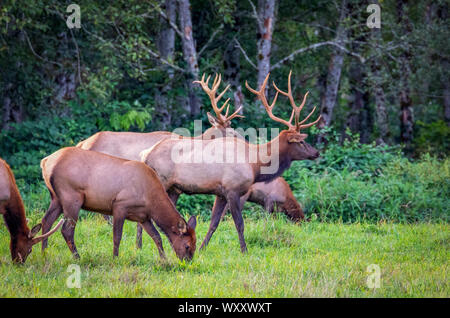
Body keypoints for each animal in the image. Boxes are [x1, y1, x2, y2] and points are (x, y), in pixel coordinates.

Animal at [40, 147, 197, 260]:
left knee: (46, 221)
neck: (151, 200)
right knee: (66, 230)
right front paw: (115, 258)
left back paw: (44, 253)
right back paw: (77, 257)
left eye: (195, 244)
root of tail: (45, 162)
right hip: (71, 197)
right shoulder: (120, 205)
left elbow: (157, 236)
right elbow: (117, 236)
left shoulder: (143, 217)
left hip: (56, 198)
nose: (187, 261)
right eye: (187, 246)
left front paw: (164, 260)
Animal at [141, 71, 320, 252]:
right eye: (301, 141)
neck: (255, 164)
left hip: (173, 188)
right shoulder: (233, 189)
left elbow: (214, 223)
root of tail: (147, 155)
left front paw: (201, 249)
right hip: (162, 181)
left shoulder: (220, 193)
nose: (316, 152)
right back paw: (140, 246)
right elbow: (239, 224)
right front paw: (244, 251)